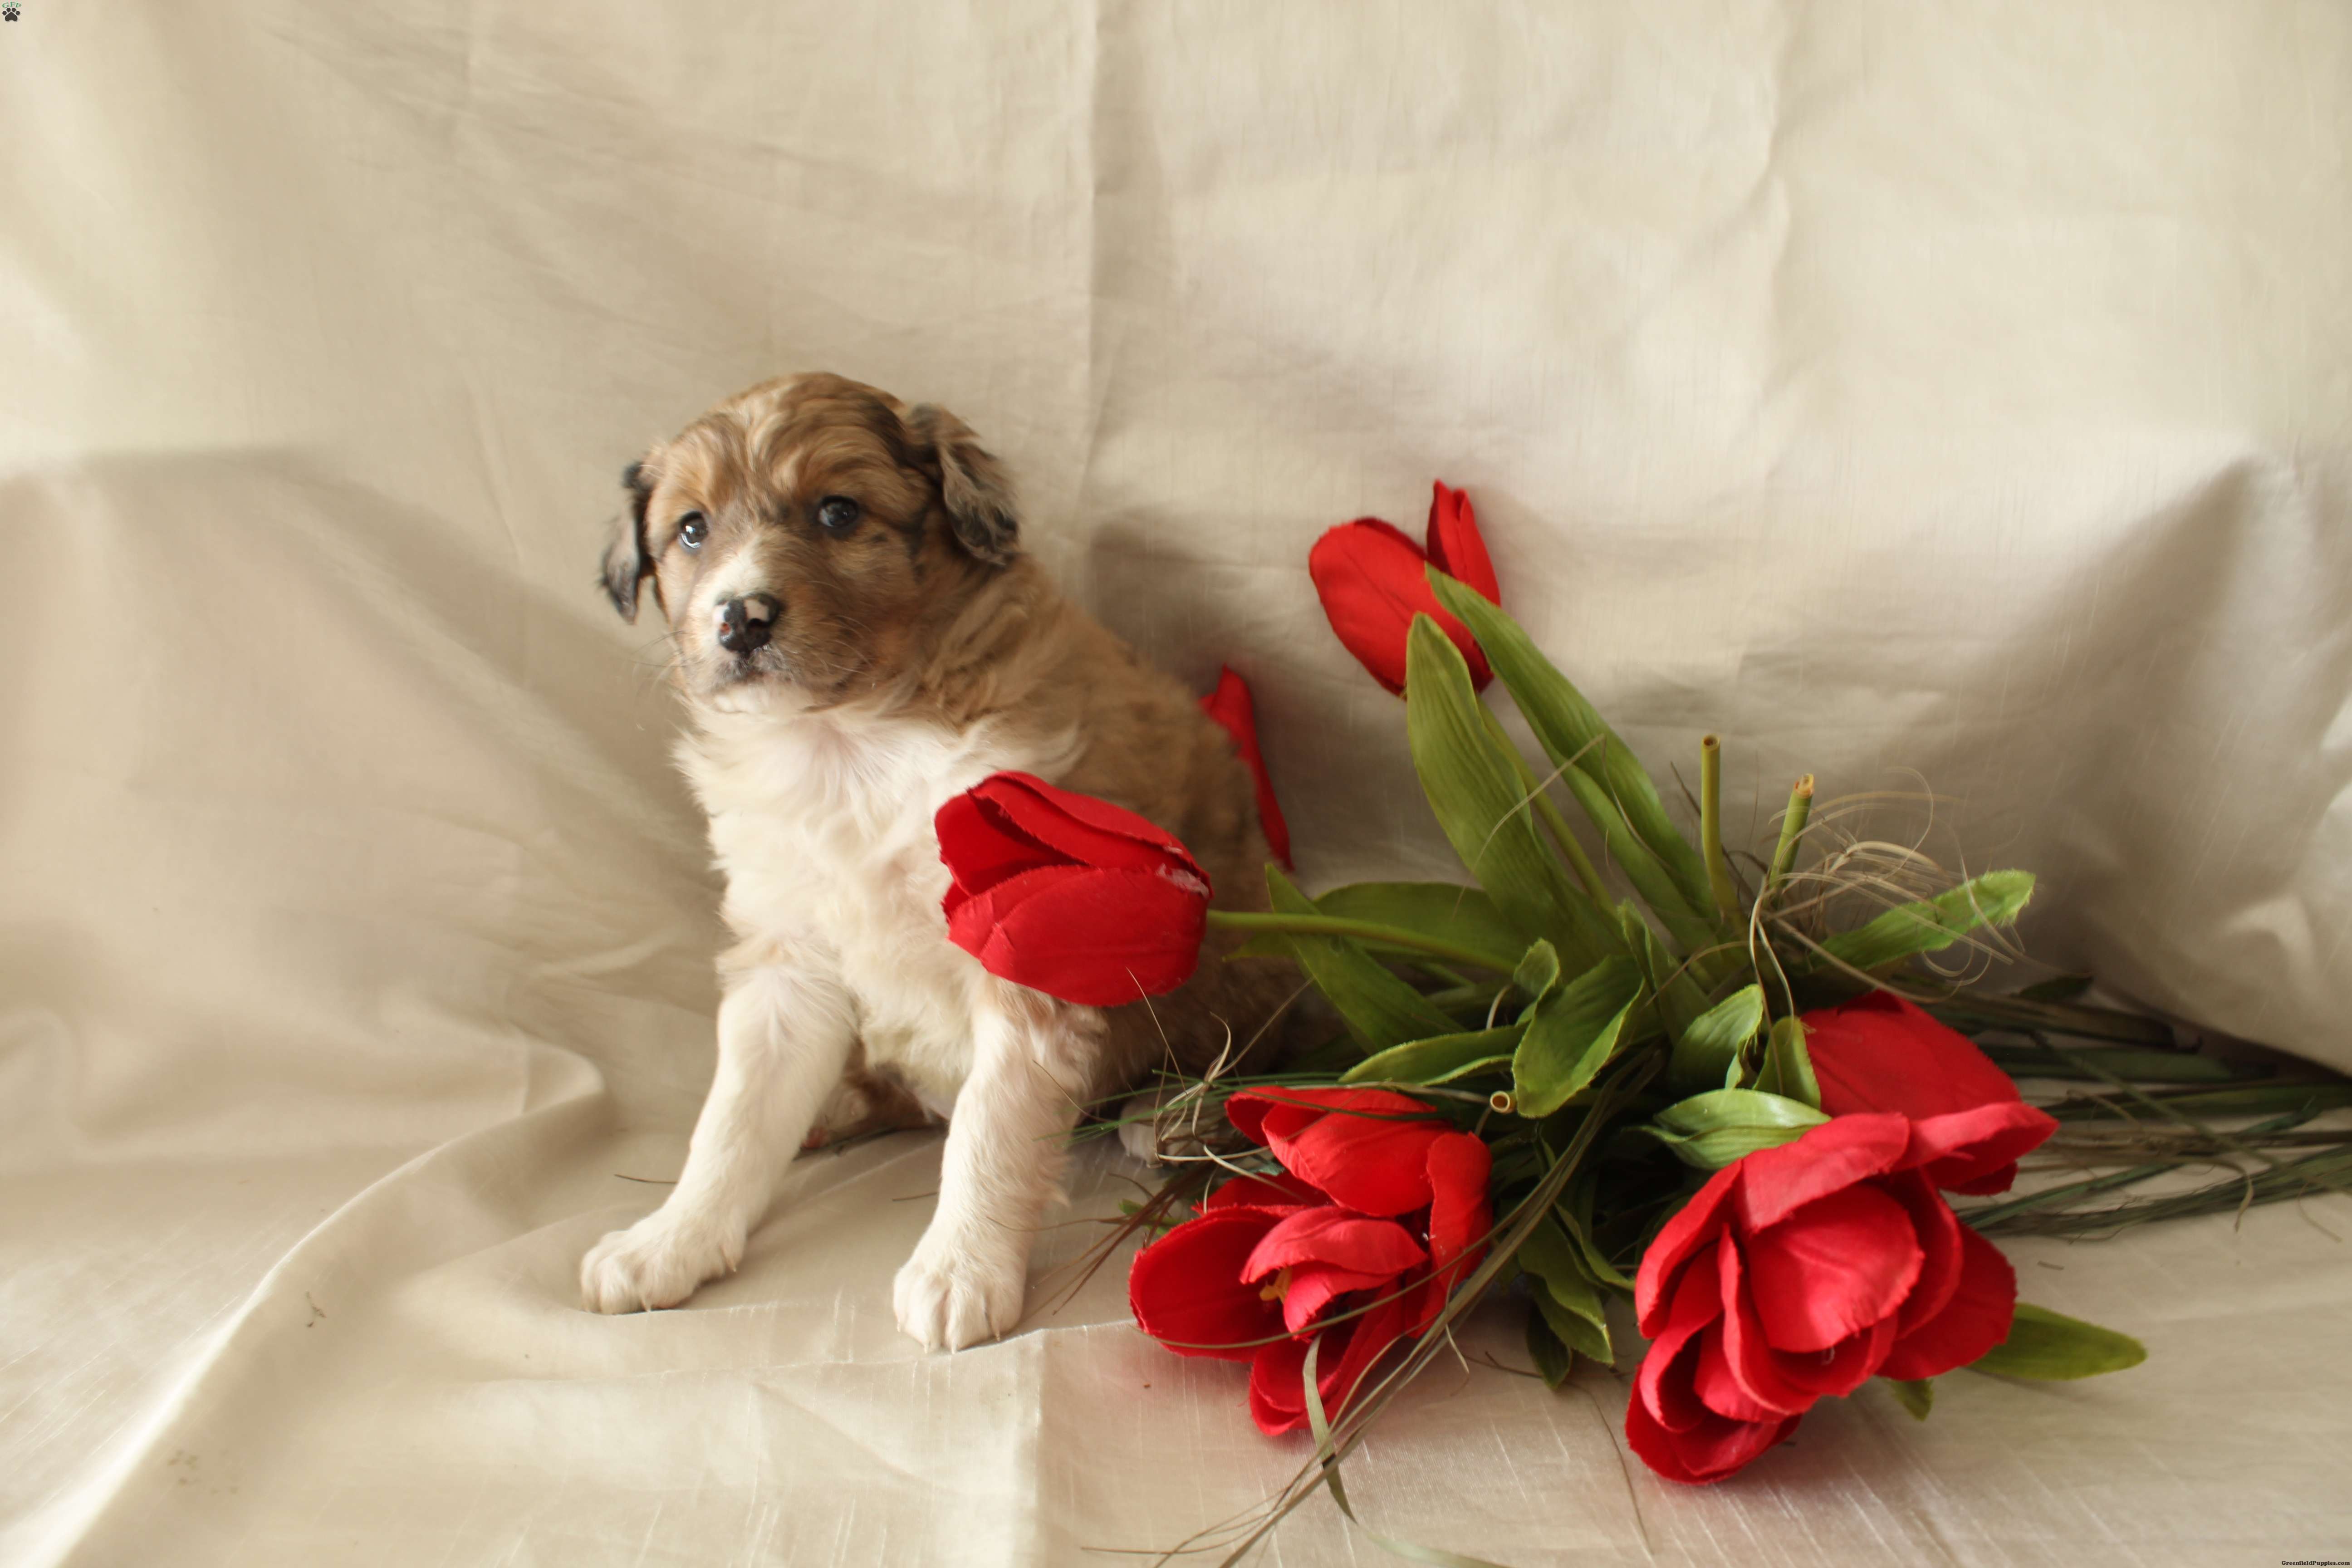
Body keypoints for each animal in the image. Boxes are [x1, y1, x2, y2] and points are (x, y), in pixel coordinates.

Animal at [581, 373, 1293, 1349]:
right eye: (691, 529)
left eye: (838, 512)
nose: (741, 618)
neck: (848, 744)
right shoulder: (786, 952)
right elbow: (732, 1119)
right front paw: (671, 1239)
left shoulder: (1023, 940)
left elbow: (990, 1129)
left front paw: (960, 1269)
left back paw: (1176, 1111)